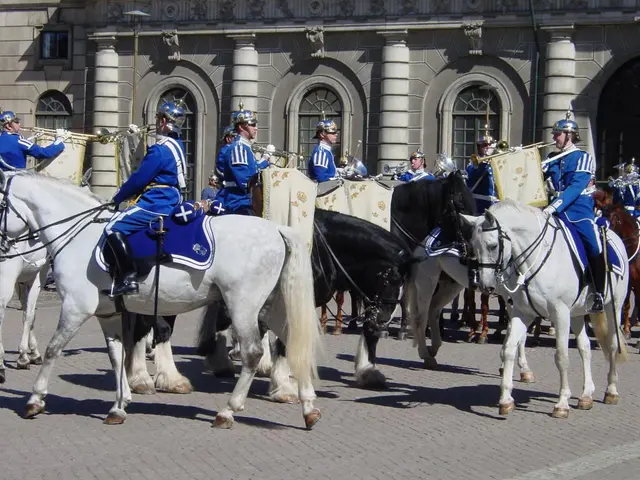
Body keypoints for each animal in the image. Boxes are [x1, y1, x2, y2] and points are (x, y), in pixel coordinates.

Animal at [0, 170, 322, 429]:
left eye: (1, 204)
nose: (4, 246)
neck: (83, 236)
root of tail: (275, 228)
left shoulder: (75, 308)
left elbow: (53, 349)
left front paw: (35, 399)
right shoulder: (108, 314)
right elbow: (116, 357)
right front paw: (119, 405)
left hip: (243, 306)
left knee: (254, 353)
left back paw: (228, 412)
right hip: (269, 307)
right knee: (292, 342)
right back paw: (308, 408)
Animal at [460, 200, 629, 418]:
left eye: (493, 245)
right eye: (473, 247)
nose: (484, 285)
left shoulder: (560, 314)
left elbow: (562, 357)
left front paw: (562, 403)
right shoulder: (523, 313)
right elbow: (508, 349)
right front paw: (506, 400)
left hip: (613, 306)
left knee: (613, 345)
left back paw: (611, 391)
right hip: (578, 313)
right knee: (584, 348)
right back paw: (586, 396)